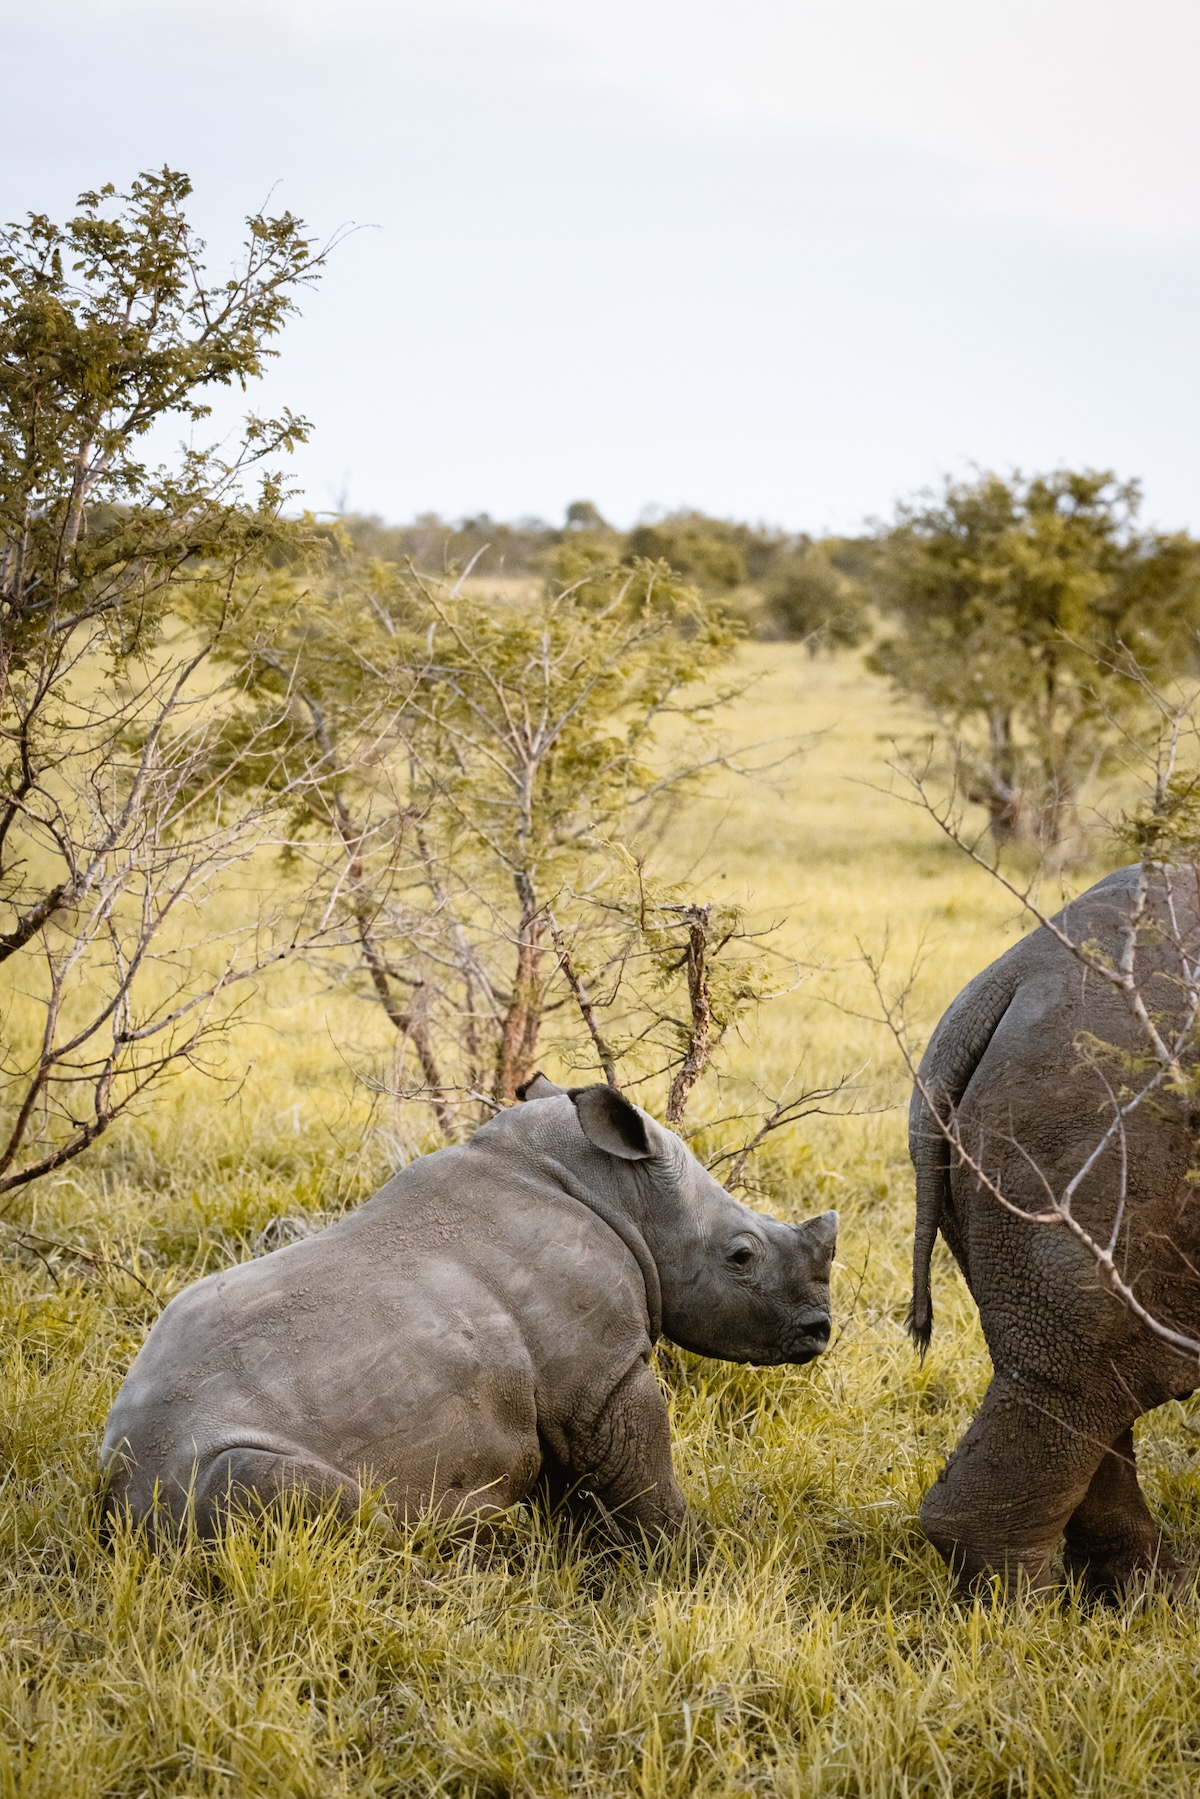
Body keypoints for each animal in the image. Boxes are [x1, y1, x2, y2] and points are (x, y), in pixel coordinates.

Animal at [100, 1072, 834, 1539]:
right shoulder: (601, 1378)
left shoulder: (563, 1393)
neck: (618, 1193)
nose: (820, 1329)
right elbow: (642, 1477)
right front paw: (686, 1559)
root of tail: (121, 1501)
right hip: (214, 1457)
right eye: (741, 1256)